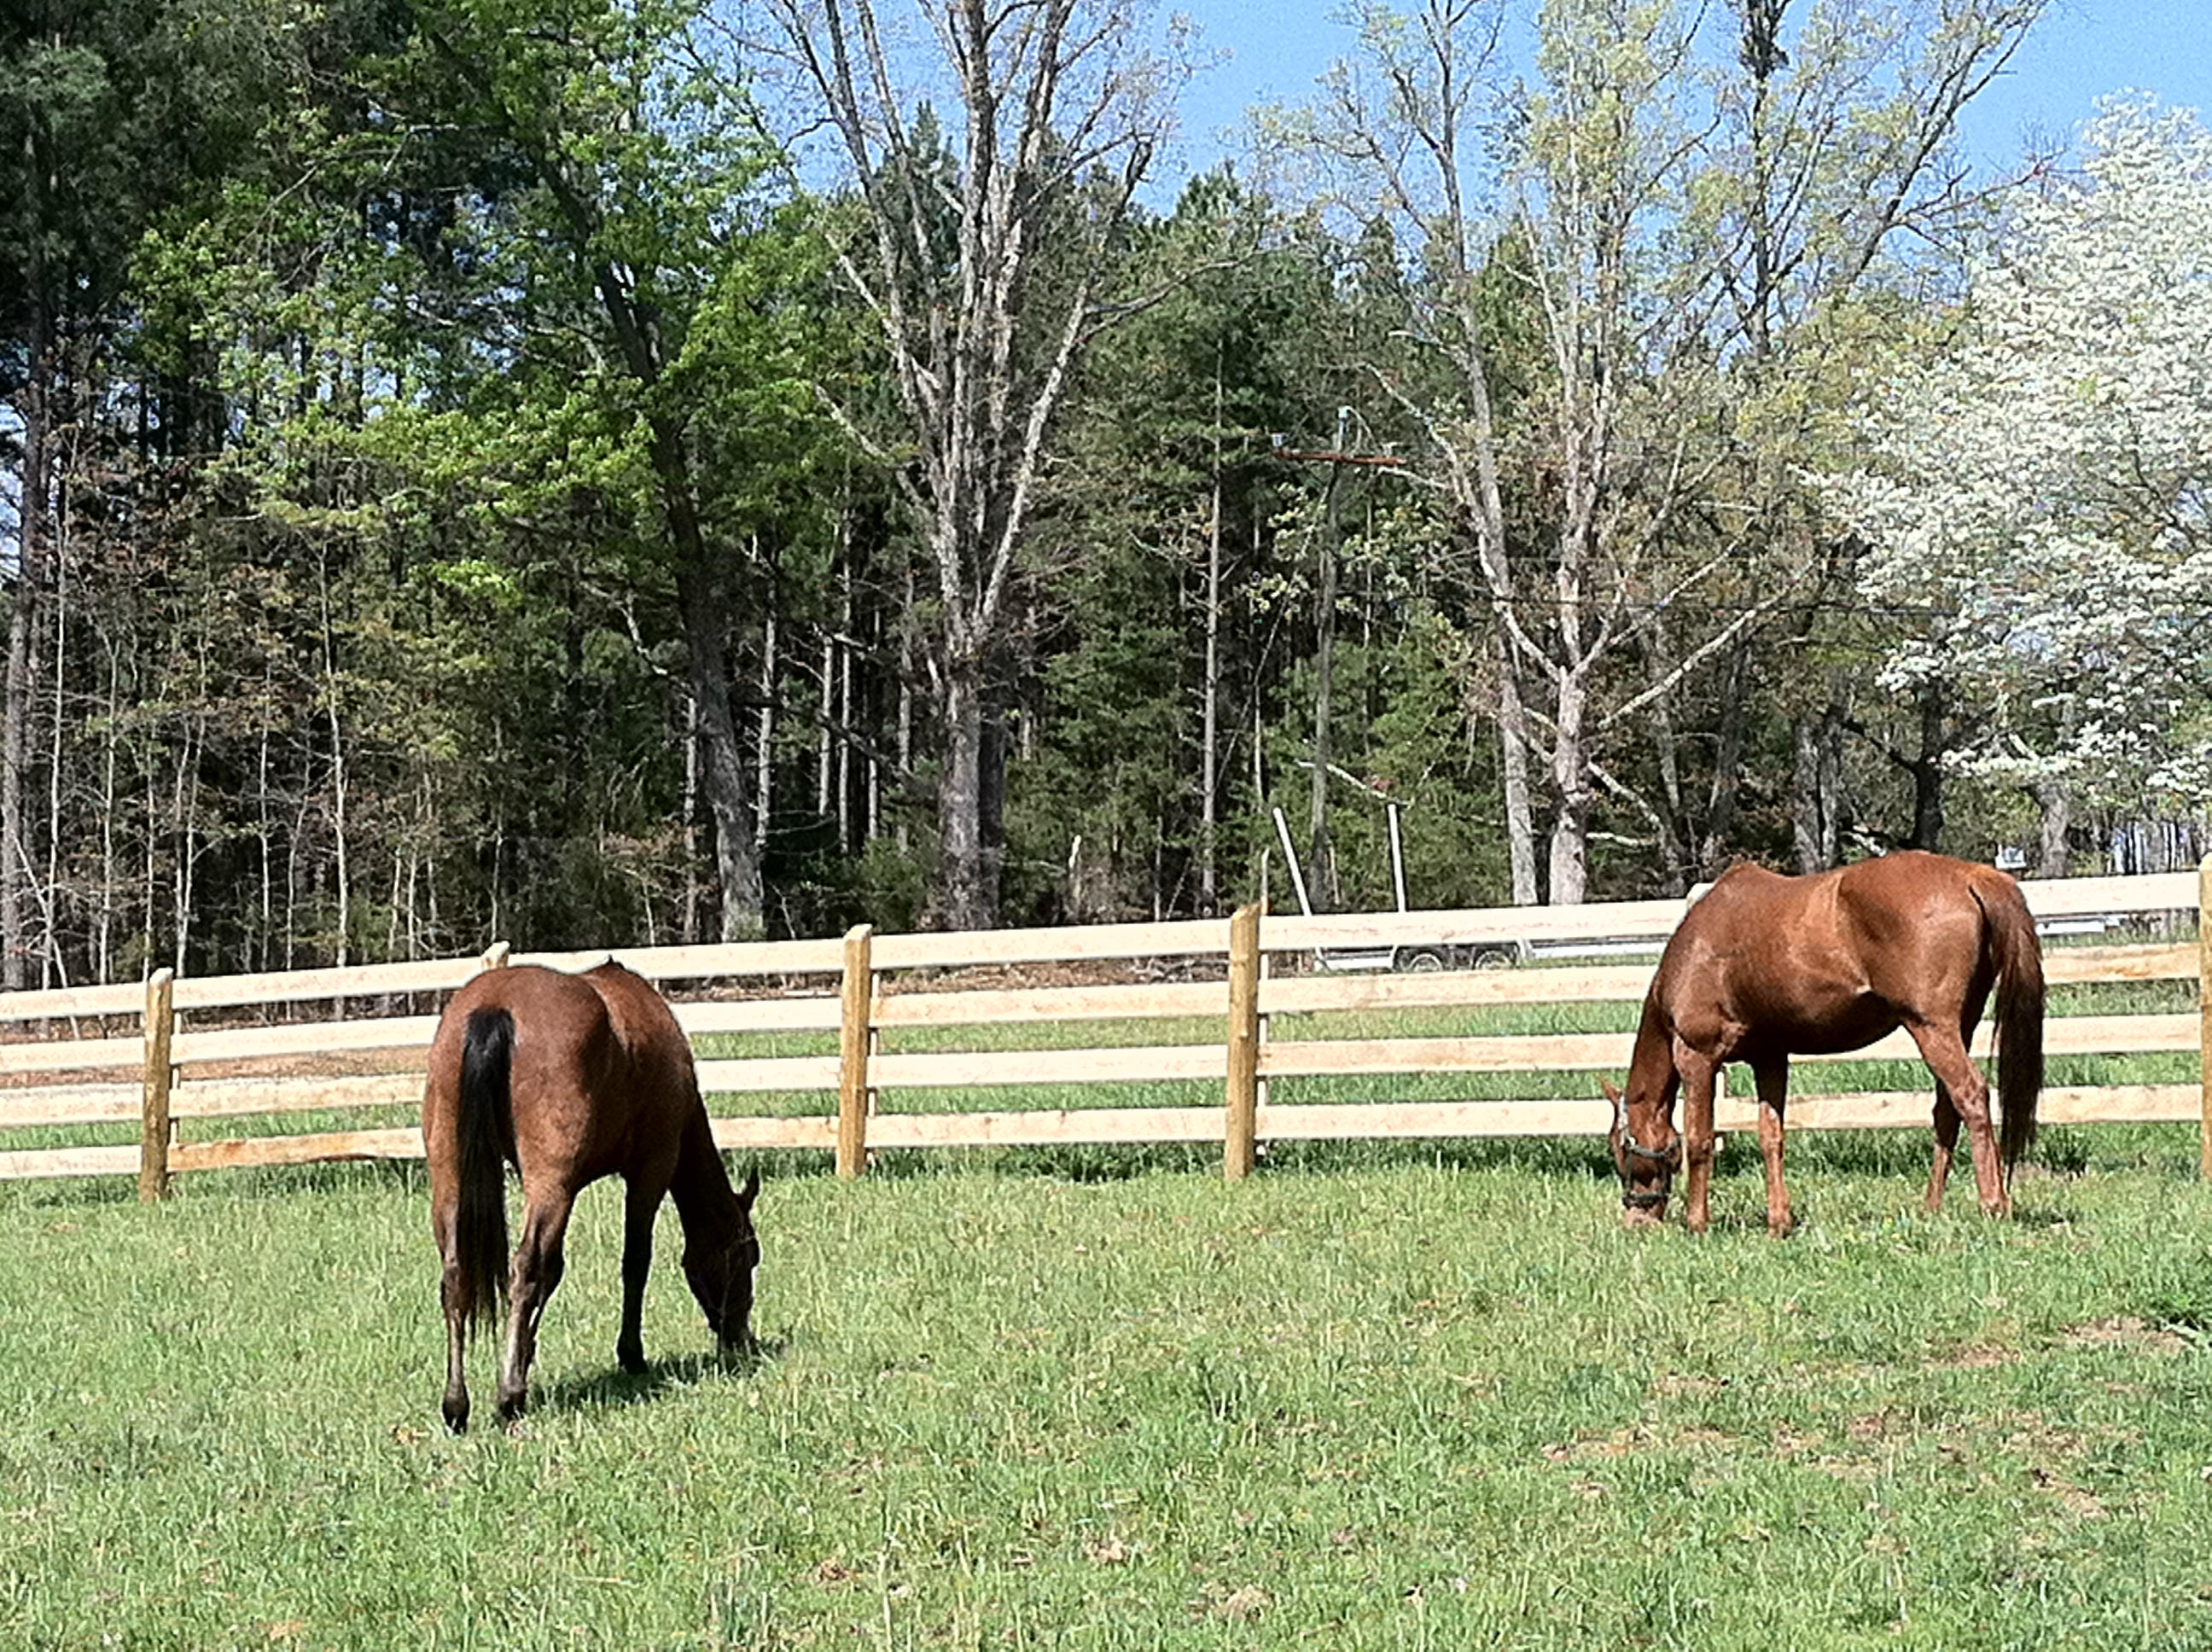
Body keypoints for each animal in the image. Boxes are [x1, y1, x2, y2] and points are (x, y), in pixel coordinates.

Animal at [421, 959, 760, 1432]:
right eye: (747, 1256)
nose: (742, 1338)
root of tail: (493, 1006)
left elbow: (556, 1270)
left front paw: (526, 1352)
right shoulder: (650, 1171)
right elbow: (634, 1263)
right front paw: (631, 1355)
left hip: (449, 1177)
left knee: (457, 1275)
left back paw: (457, 1405)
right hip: (551, 1184)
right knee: (526, 1269)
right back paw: (510, 1397)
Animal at [1603, 851, 2044, 1236]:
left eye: (1621, 1151)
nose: (1636, 1222)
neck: (1695, 948)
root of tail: (1970, 875)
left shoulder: (1697, 1057)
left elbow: (1700, 1140)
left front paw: (1698, 1223)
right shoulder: (1769, 1057)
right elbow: (1771, 1137)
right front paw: (1778, 1223)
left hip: (1931, 1027)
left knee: (1970, 1096)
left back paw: (1993, 1204)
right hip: (1957, 1027)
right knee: (1946, 1110)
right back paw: (1931, 1206)